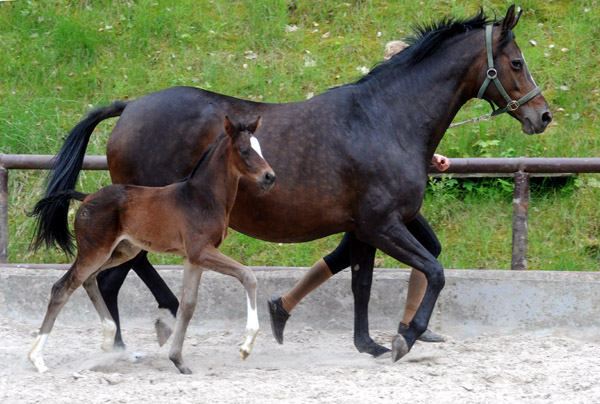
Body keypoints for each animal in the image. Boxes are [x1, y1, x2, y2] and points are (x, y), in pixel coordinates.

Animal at [27, 115, 274, 374]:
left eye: (259, 148)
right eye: (244, 150)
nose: (270, 177)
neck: (203, 198)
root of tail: (86, 197)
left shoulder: (193, 258)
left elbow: (188, 305)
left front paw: (178, 361)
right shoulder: (201, 251)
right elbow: (248, 275)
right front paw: (246, 346)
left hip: (122, 251)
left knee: (89, 280)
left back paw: (108, 342)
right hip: (94, 251)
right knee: (62, 288)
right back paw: (38, 359)